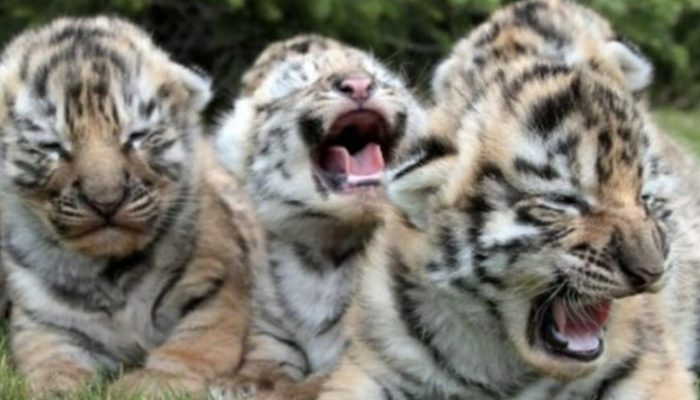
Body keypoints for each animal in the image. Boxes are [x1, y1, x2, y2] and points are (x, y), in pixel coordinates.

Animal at [0, 16, 263, 397]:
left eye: (136, 137)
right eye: (53, 147)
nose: (106, 201)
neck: (112, 273)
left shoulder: (217, 291)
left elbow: (189, 348)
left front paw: (145, 384)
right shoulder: (45, 325)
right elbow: (51, 368)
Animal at [213, 34, 427, 399]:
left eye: (379, 78)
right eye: (301, 84)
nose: (359, 84)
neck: (326, 252)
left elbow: (321, 381)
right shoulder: (272, 332)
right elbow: (264, 361)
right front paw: (239, 383)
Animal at [314, 1, 700, 399]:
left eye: (645, 197)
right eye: (563, 199)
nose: (651, 271)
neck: (507, 363)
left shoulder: (652, 368)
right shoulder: (372, 362)